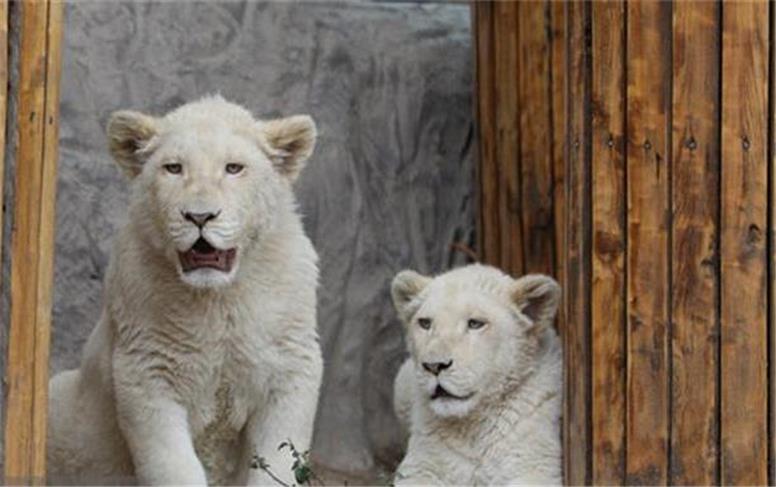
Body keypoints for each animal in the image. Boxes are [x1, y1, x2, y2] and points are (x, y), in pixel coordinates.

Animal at [46, 96, 324, 487]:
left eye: (234, 168)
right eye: (174, 168)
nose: (200, 217)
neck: (219, 299)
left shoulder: (290, 363)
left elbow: (279, 458)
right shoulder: (146, 368)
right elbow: (172, 464)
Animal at [392, 264, 560, 486]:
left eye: (475, 324)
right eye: (425, 323)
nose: (434, 366)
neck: (472, 429)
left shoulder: (532, 464)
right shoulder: (423, 465)